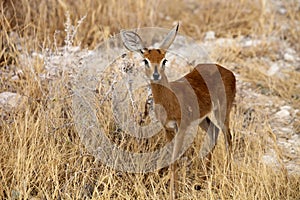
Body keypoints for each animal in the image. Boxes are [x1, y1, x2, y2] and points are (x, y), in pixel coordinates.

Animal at [120, 24, 236, 199]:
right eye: (145, 60)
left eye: (164, 60)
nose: (156, 75)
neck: (170, 99)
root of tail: (228, 72)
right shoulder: (168, 129)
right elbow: (169, 157)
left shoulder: (181, 128)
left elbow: (175, 159)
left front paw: (172, 193)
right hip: (203, 118)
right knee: (214, 132)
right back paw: (204, 178)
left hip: (221, 113)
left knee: (228, 137)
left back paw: (227, 176)